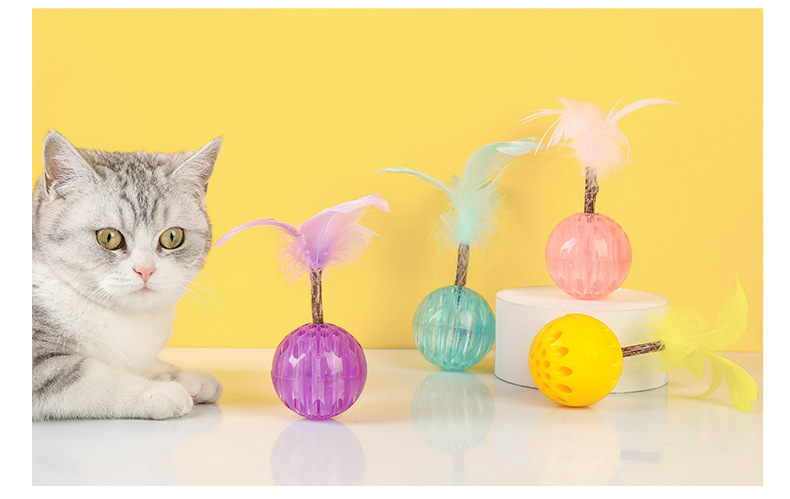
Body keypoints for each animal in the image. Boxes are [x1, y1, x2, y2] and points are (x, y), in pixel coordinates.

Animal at [33, 130, 223, 421]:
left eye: (172, 237)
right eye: (108, 237)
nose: (146, 269)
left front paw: (183, 377)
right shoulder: (39, 363)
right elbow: (95, 376)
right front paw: (160, 391)